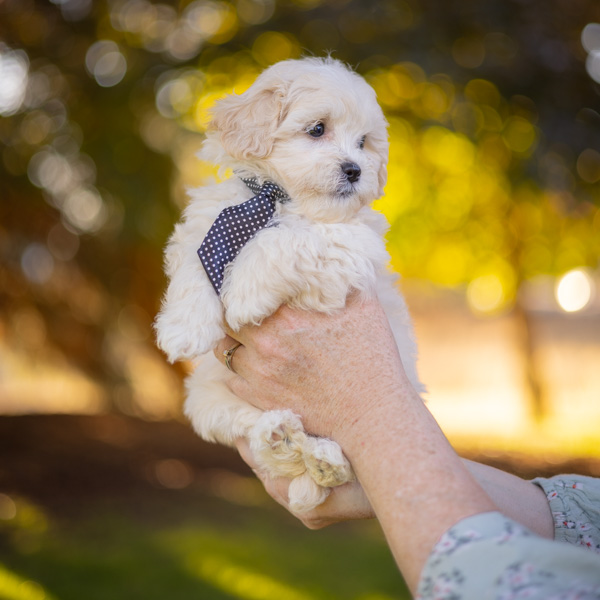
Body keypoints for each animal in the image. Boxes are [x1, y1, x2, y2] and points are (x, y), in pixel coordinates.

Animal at [157, 57, 424, 510]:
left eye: (363, 142)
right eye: (317, 129)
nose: (355, 170)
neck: (277, 198)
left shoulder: (350, 246)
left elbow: (281, 241)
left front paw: (243, 295)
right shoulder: (207, 226)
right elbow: (198, 267)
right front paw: (182, 330)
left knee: (337, 459)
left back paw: (324, 459)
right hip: (208, 397)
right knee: (259, 436)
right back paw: (282, 439)